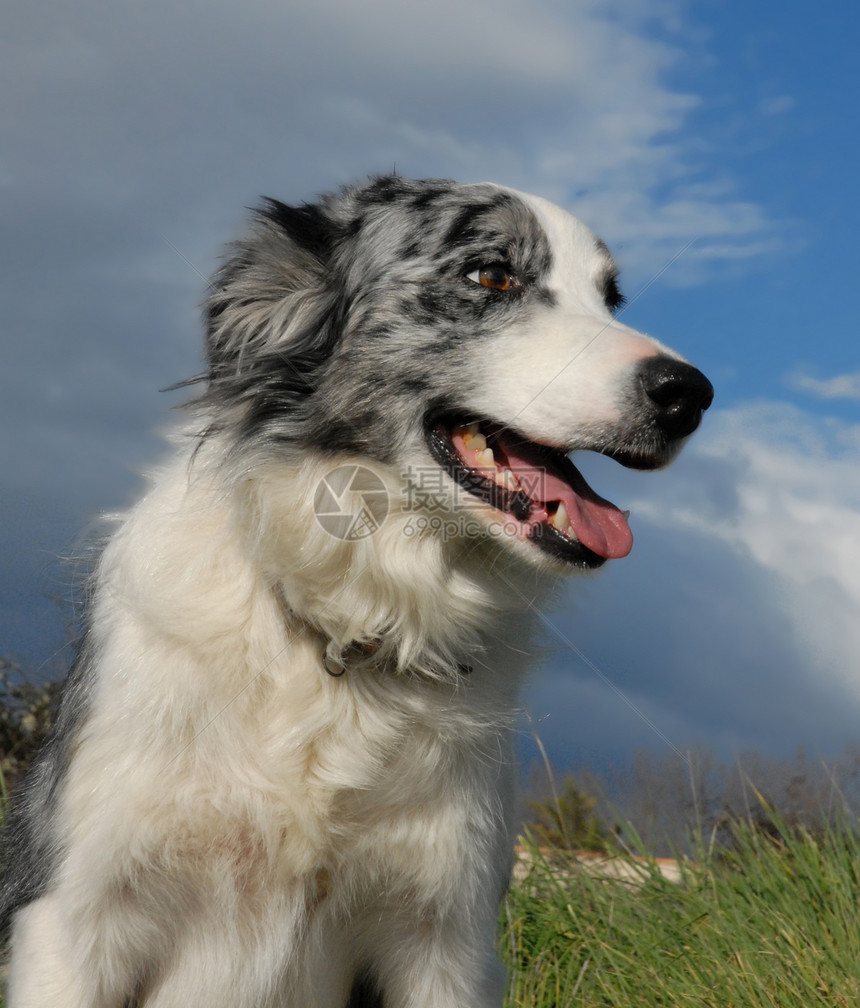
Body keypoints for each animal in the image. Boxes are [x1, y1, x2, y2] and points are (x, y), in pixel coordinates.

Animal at [0, 177, 709, 1003]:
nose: (690, 394)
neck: (348, 627)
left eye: (610, 298)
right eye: (492, 275)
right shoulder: (76, 917)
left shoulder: (446, 938)